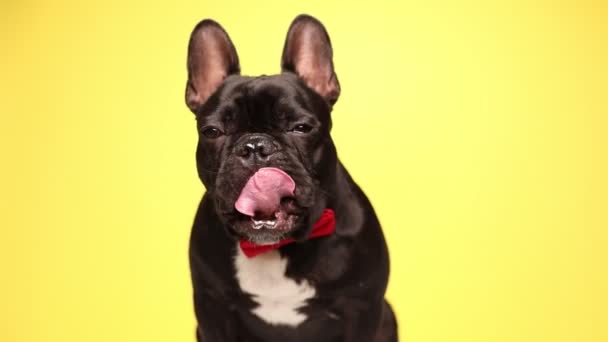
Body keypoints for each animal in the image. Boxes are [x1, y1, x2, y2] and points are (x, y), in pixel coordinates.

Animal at [183, 14, 396, 342]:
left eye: (301, 127)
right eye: (213, 131)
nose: (255, 146)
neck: (275, 247)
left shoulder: (362, 307)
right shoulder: (212, 309)